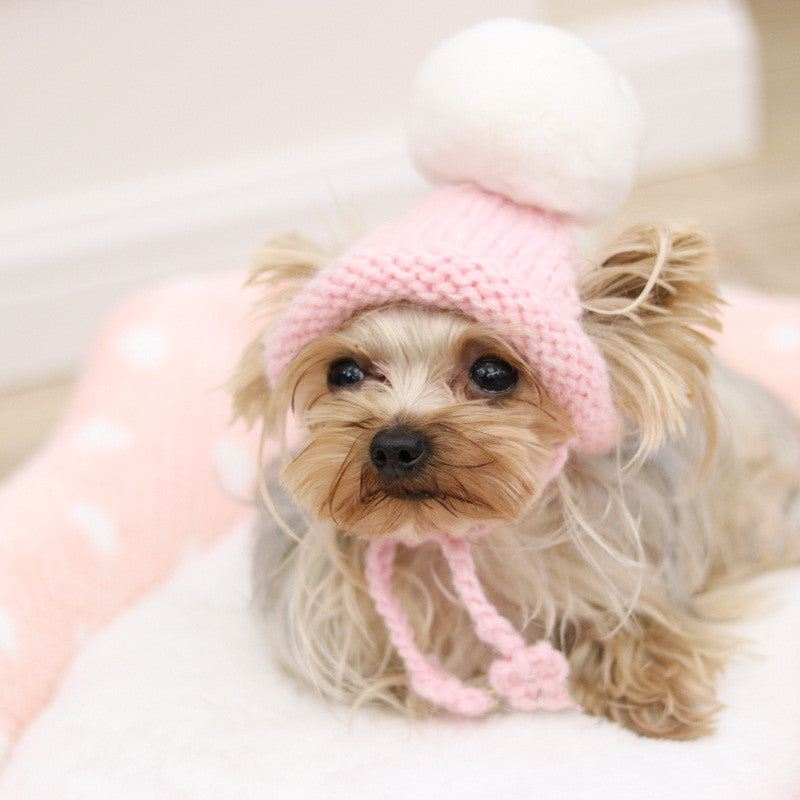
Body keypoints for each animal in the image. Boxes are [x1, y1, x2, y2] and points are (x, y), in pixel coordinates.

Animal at [230, 222, 800, 740]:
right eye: (343, 373)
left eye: (493, 373)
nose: (394, 445)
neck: (462, 540)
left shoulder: (631, 564)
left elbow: (638, 624)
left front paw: (660, 700)